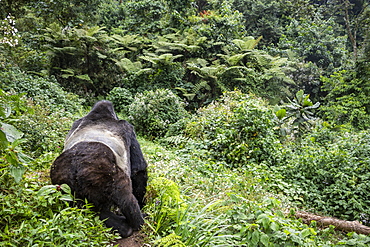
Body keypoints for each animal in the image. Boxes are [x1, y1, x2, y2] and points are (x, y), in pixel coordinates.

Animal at [50, 100, 147, 237]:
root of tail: (75, 169)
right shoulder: (127, 127)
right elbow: (138, 169)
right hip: (101, 174)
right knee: (125, 197)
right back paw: (137, 222)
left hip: (62, 183)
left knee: (91, 208)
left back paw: (120, 225)